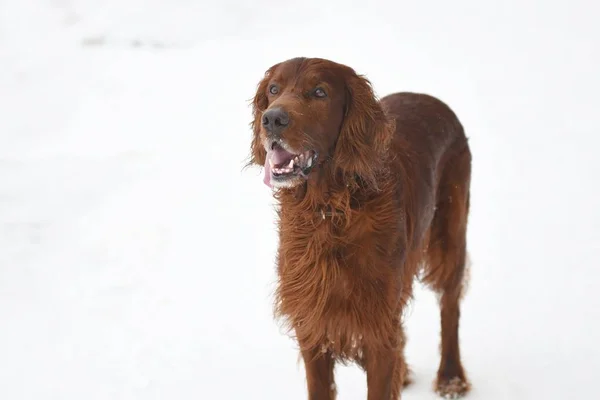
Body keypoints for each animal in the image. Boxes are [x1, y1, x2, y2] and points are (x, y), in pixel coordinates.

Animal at [246, 57, 472, 400]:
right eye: (273, 89)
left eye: (319, 92)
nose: (271, 119)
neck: (329, 211)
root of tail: (429, 98)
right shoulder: (313, 324)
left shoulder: (376, 326)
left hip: (450, 237)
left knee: (450, 306)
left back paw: (451, 377)